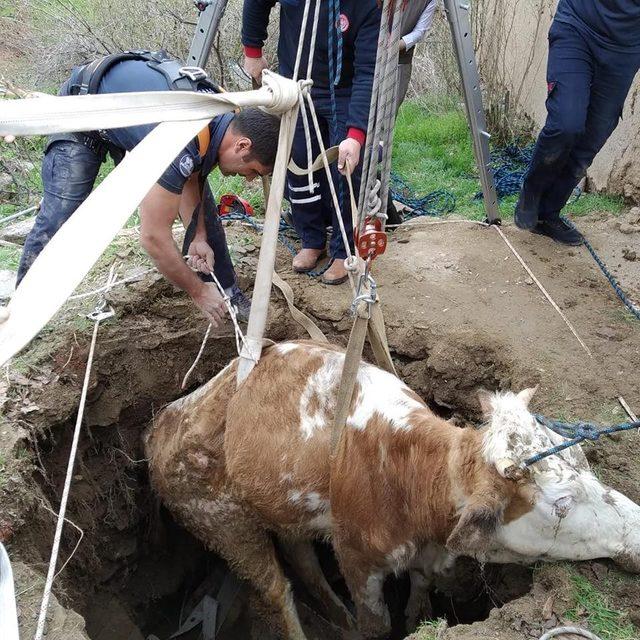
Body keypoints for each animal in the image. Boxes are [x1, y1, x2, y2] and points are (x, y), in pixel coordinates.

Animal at [145, 340, 640, 640]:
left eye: (584, 458)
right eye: (561, 504)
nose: (637, 532)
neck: (411, 477)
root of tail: (163, 419)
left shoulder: (431, 552)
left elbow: (419, 596)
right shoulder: (357, 557)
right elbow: (377, 623)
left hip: (280, 507)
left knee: (302, 560)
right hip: (220, 522)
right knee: (275, 588)